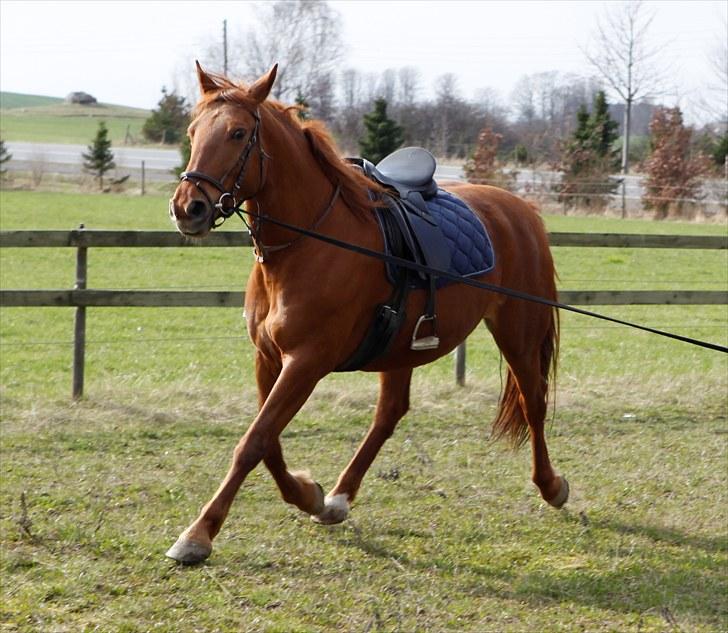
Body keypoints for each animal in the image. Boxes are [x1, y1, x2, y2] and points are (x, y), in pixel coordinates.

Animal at [166, 64, 568, 564]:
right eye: (193, 131)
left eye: (238, 133)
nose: (188, 208)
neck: (311, 241)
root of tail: (521, 211)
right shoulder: (268, 359)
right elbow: (269, 442)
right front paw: (310, 495)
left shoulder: (306, 363)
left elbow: (253, 442)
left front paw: (198, 535)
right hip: (402, 349)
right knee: (390, 413)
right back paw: (338, 499)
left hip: (518, 331)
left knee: (534, 401)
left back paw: (552, 486)